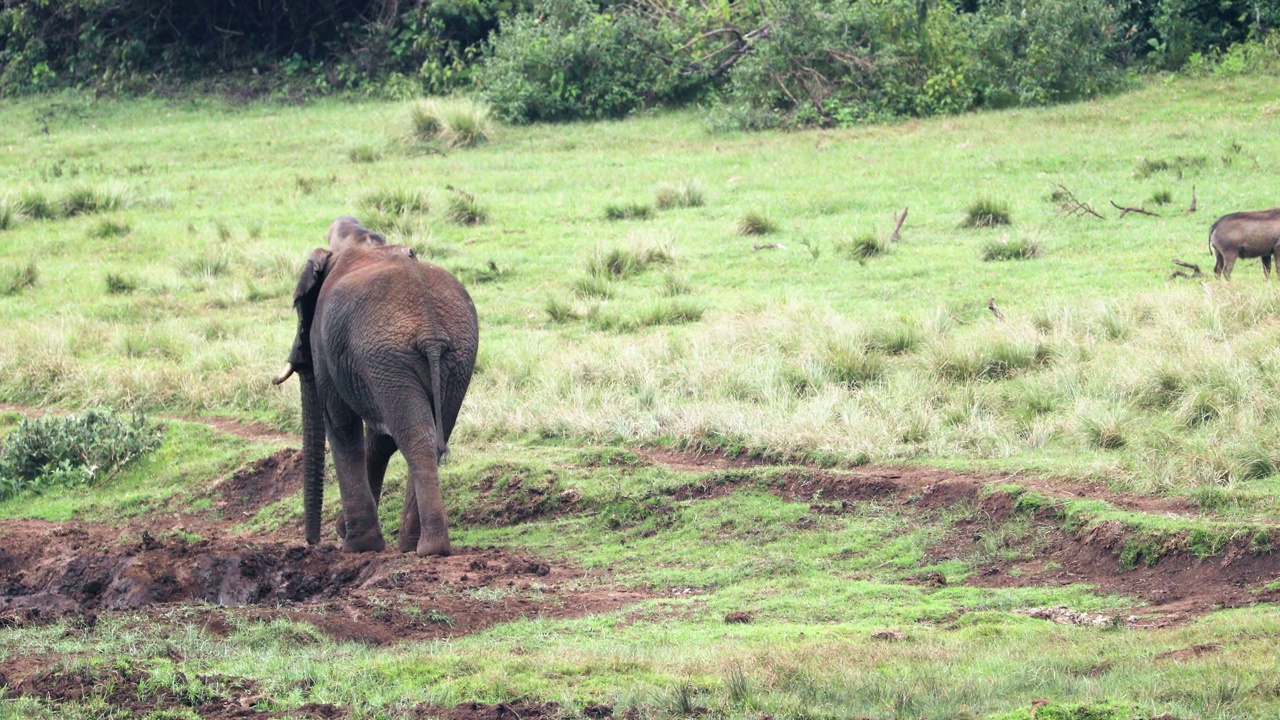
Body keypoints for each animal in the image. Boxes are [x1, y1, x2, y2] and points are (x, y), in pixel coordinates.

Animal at [272, 219, 478, 556]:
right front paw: (347, 534)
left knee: (414, 437)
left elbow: (341, 425)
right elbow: (380, 437)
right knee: (435, 431)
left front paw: (357, 545)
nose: (311, 541)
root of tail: (431, 332)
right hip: (453, 357)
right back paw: (416, 545)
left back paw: (428, 548)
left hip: (391, 354)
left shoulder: (327, 346)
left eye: (298, 306)